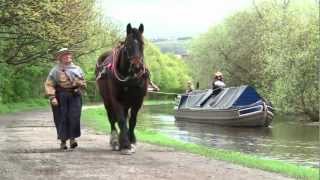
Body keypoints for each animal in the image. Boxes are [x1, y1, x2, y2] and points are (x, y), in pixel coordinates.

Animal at [95, 22, 148, 155]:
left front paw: (131, 141)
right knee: (112, 119)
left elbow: (132, 120)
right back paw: (115, 140)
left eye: (142, 44)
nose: (137, 67)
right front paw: (125, 144)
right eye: (127, 45)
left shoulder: (138, 101)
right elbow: (121, 120)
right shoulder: (116, 100)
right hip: (107, 100)